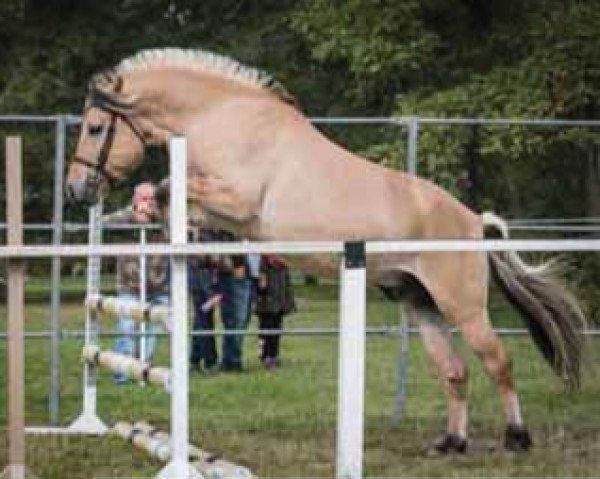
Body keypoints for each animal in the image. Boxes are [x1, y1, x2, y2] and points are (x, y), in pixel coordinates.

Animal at [64, 47, 584, 454]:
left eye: (95, 128)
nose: (76, 190)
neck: (223, 115)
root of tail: (474, 221)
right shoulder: (222, 214)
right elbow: (171, 199)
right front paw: (143, 214)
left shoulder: (236, 202)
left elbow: (174, 189)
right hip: (419, 302)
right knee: (454, 371)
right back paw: (451, 443)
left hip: (463, 305)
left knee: (498, 362)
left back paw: (517, 437)